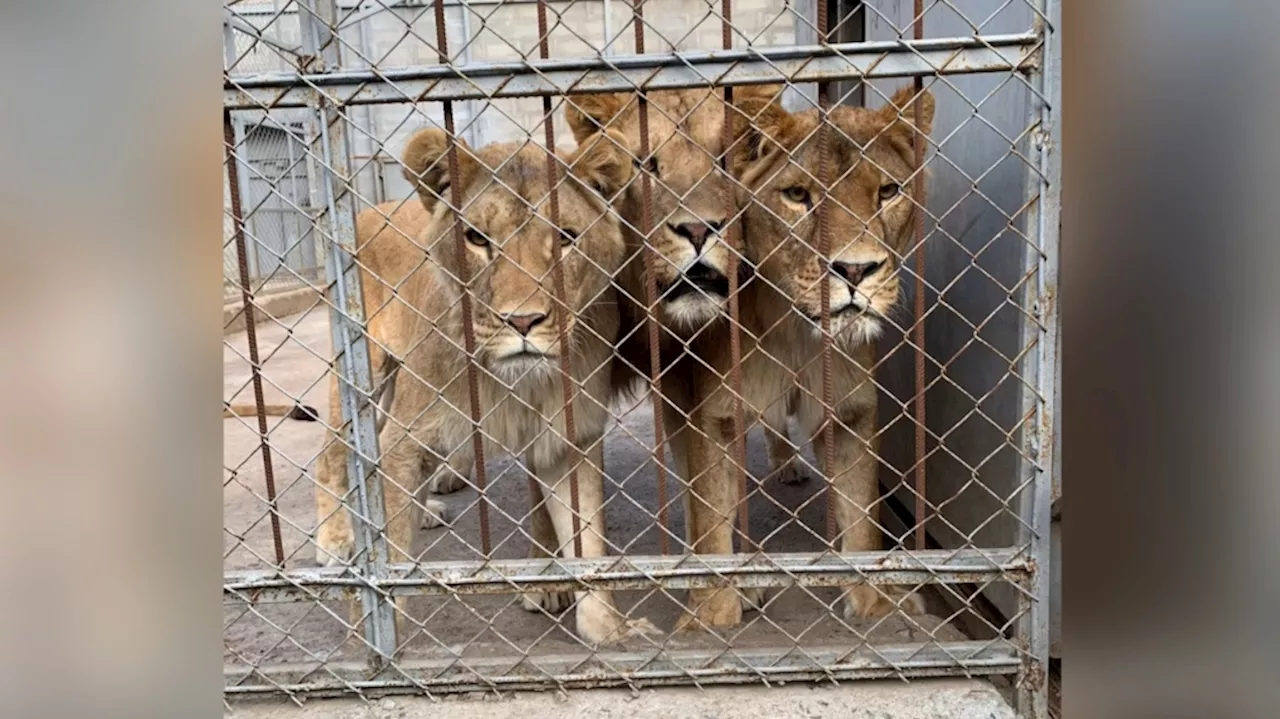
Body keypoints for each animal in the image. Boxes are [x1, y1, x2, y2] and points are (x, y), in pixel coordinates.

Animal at [316, 124, 660, 644]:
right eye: (476, 239)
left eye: (565, 239)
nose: (522, 321)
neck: (509, 380)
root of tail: (373, 208)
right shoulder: (407, 439)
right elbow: (391, 553)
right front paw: (380, 635)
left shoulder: (566, 438)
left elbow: (586, 536)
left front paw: (609, 628)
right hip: (363, 373)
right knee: (332, 455)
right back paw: (333, 542)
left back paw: (424, 510)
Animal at [670, 83, 942, 629]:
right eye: (797, 195)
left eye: (888, 192)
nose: (855, 271)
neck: (796, 332)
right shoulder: (714, 415)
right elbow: (711, 517)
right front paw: (712, 614)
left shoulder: (851, 412)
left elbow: (861, 514)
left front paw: (875, 603)